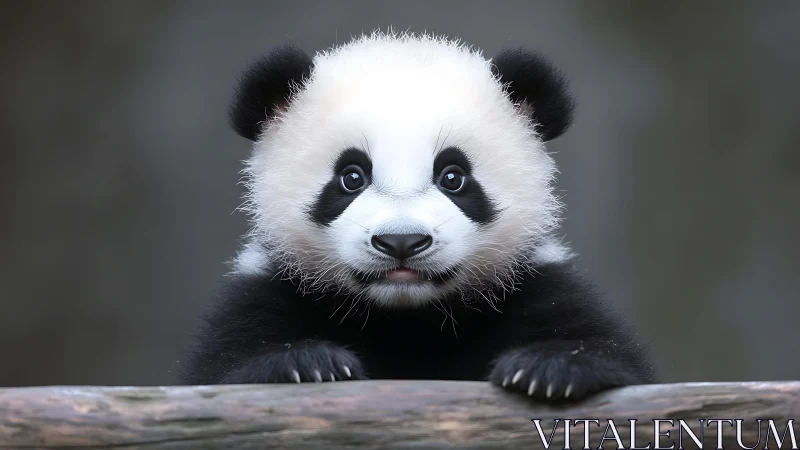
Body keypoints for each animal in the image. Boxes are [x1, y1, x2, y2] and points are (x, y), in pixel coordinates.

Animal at [178, 31, 655, 402]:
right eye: (351, 177)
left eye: (453, 177)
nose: (402, 242)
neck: (407, 317)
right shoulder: (268, 289)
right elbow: (225, 366)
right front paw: (303, 363)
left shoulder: (534, 283)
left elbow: (611, 355)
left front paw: (552, 368)